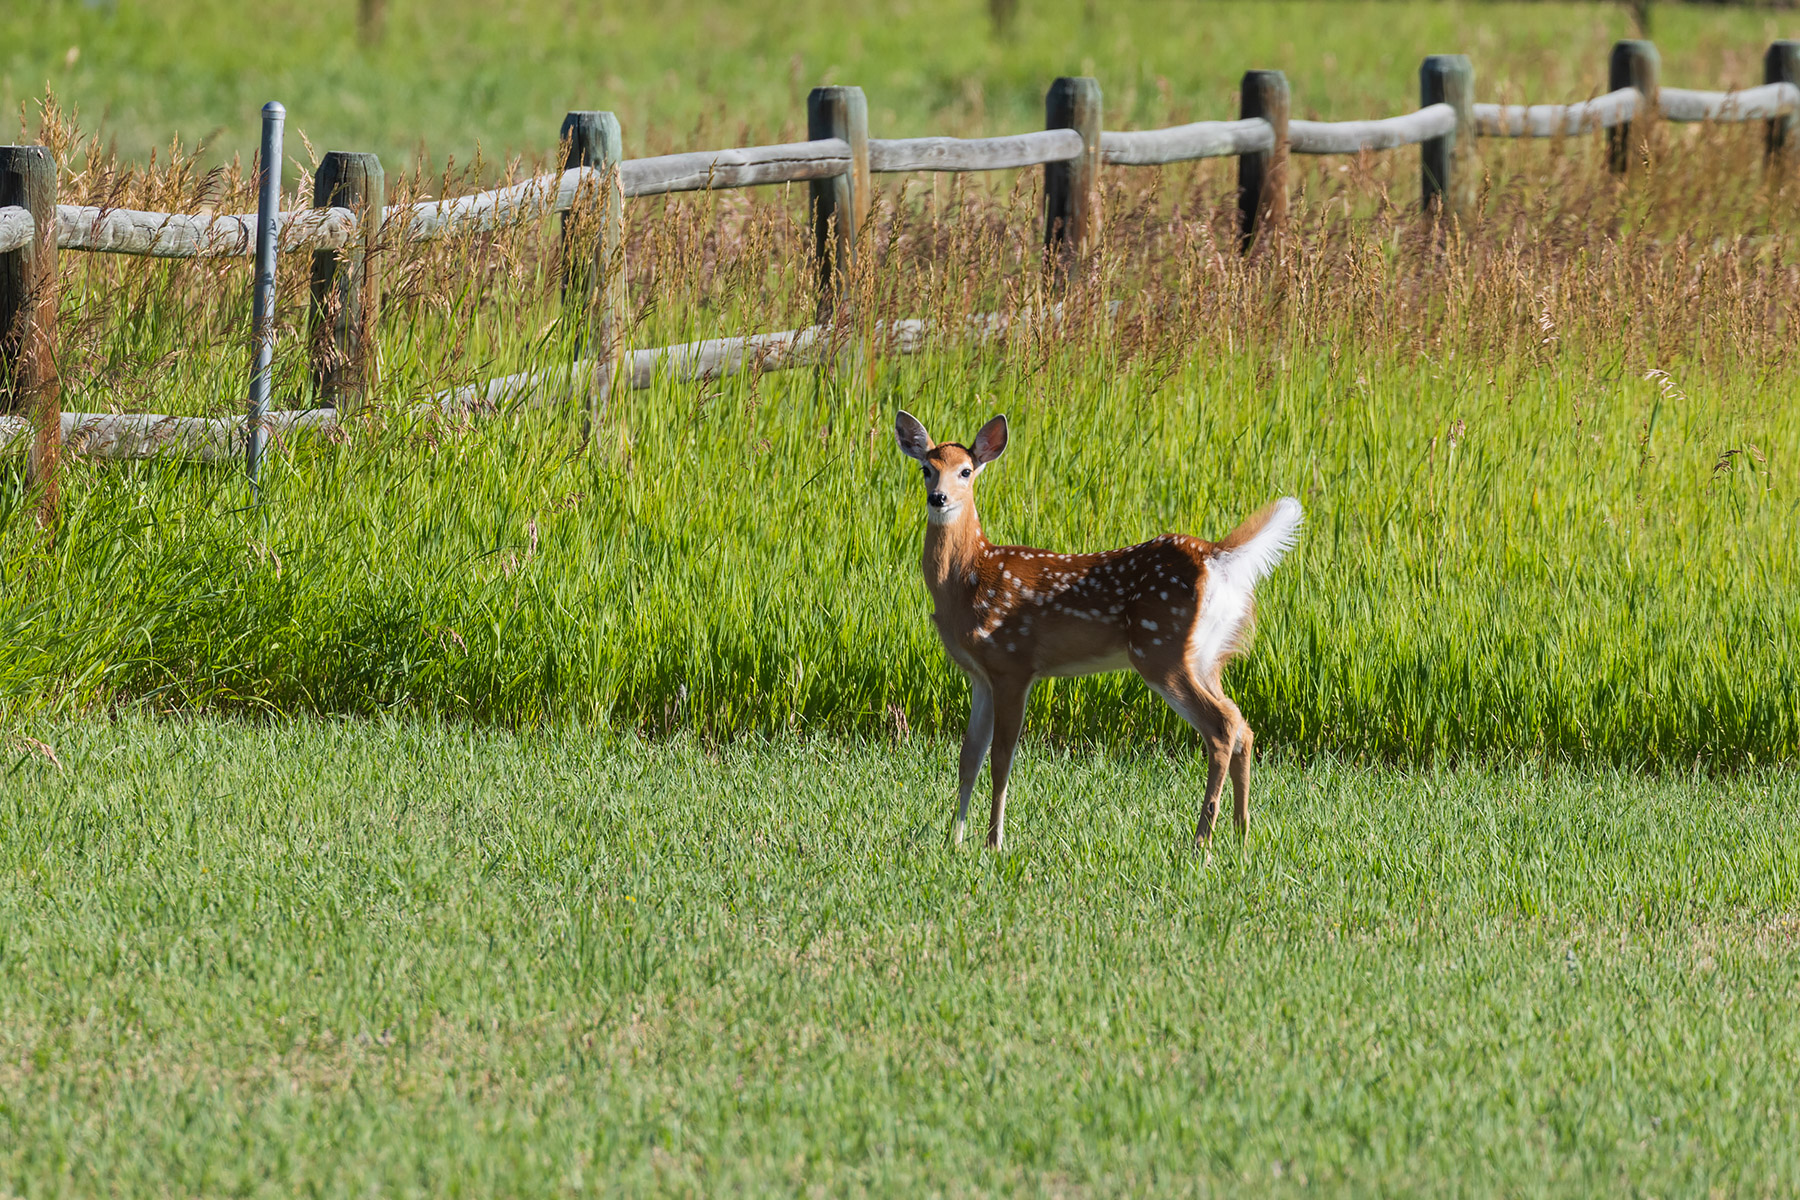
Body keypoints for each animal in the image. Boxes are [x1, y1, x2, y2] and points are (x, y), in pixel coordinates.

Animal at [895, 410, 1302, 850]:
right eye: (927, 469)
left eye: (966, 471)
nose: (939, 498)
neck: (969, 578)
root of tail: (1218, 558)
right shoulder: (979, 675)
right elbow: (969, 756)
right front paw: (953, 842)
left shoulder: (1013, 664)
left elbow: (1002, 758)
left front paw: (994, 844)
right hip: (1208, 657)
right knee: (1242, 724)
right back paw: (1242, 835)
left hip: (1161, 650)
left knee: (1223, 727)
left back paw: (1201, 843)